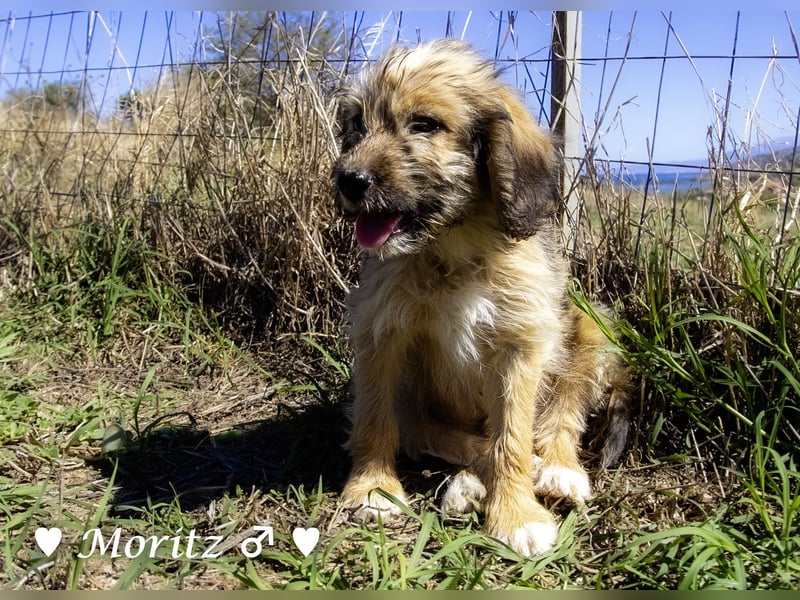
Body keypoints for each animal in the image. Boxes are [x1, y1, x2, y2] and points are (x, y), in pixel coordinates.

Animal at [328, 38, 628, 556]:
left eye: (425, 124)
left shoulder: (519, 344)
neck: (453, 248)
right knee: (432, 431)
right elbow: (374, 417)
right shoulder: (380, 331)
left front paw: (516, 514)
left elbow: (513, 434)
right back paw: (470, 481)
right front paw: (373, 488)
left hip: (589, 327)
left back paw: (556, 470)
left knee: (560, 418)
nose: (348, 180)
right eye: (356, 127)